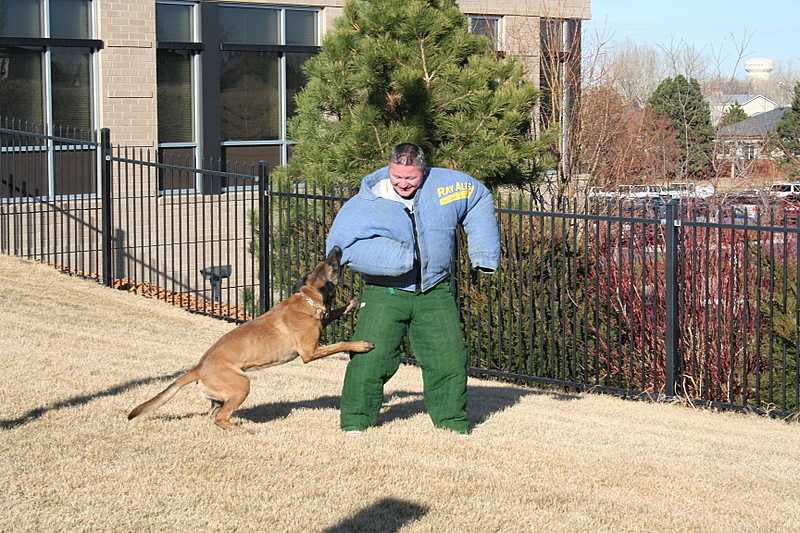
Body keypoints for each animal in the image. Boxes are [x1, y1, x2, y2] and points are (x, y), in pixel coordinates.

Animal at [127, 246, 372, 428]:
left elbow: (334, 313)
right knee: (220, 418)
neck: (308, 299)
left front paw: (350, 304)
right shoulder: (309, 353)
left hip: (221, 396)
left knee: (213, 417)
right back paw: (244, 428)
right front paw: (360, 344)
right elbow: (340, 343)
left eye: (327, 261)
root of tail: (199, 367)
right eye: (333, 265)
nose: (337, 247)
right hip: (242, 384)